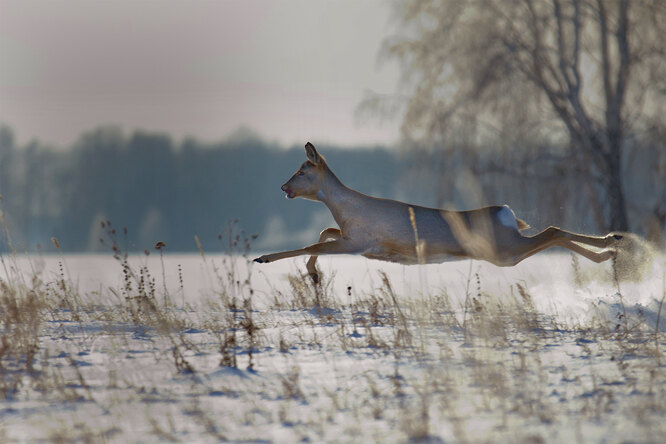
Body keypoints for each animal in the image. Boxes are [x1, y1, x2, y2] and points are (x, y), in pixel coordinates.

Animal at [252, 142, 620, 282]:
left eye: (302, 170)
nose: (283, 187)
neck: (346, 208)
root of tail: (505, 211)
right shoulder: (350, 237)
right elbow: (323, 233)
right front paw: (313, 274)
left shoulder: (361, 243)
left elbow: (312, 243)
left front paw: (265, 258)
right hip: (506, 249)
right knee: (552, 233)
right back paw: (611, 245)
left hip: (503, 249)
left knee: (553, 231)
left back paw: (612, 246)